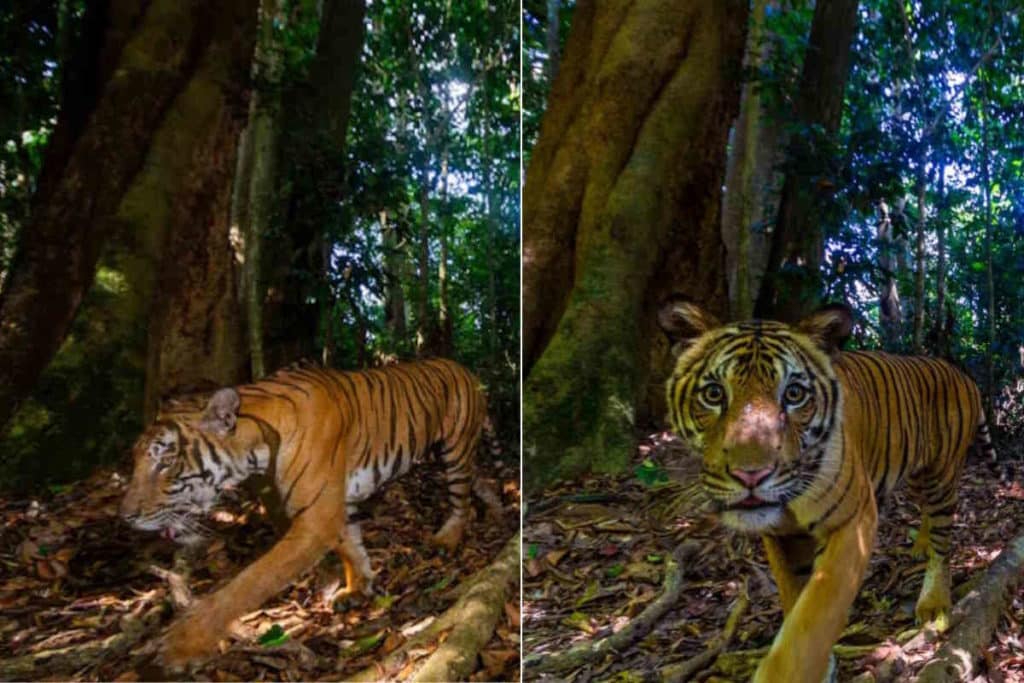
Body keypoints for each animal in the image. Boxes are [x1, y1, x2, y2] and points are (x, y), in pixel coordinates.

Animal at [119, 358, 504, 670]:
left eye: (164, 461)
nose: (125, 516)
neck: (256, 448)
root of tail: (463, 367)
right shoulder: (336, 505)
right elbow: (351, 546)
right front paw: (359, 588)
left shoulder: (315, 519)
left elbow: (247, 583)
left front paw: (183, 644)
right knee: (480, 482)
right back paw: (497, 508)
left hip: (454, 450)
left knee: (462, 500)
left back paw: (448, 538)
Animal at [658, 300, 994, 683]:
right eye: (713, 394)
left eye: (794, 394)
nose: (750, 474)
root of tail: (959, 371)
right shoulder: (780, 536)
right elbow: (794, 597)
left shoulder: (853, 521)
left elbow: (817, 611)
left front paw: (788, 672)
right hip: (916, 473)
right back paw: (920, 545)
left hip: (941, 475)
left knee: (942, 539)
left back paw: (934, 603)